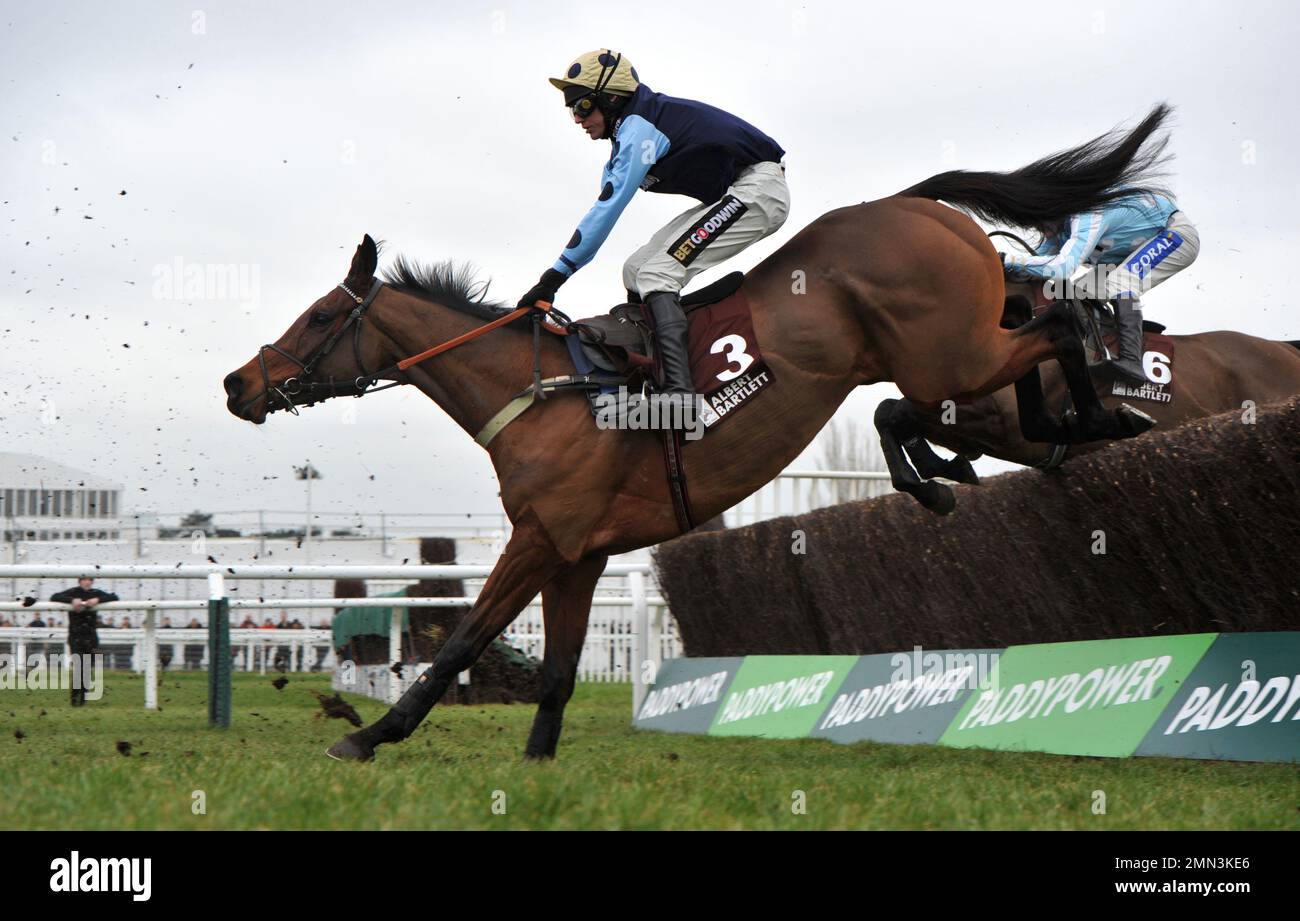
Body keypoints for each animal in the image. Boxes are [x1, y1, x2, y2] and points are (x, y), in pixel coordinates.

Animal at [228, 104, 1175, 759]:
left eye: (320, 317)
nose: (240, 384)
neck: (544, 389)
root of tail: (914, 204)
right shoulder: (580, 553)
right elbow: (559, 670)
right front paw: (537, 763)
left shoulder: (538, 538)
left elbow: (461, 639)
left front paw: (368, 734)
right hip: (956, 349)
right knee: (1026, 330)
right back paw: (1026, 440)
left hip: (947, 355)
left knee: (1046, 330)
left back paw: (1064, 425)